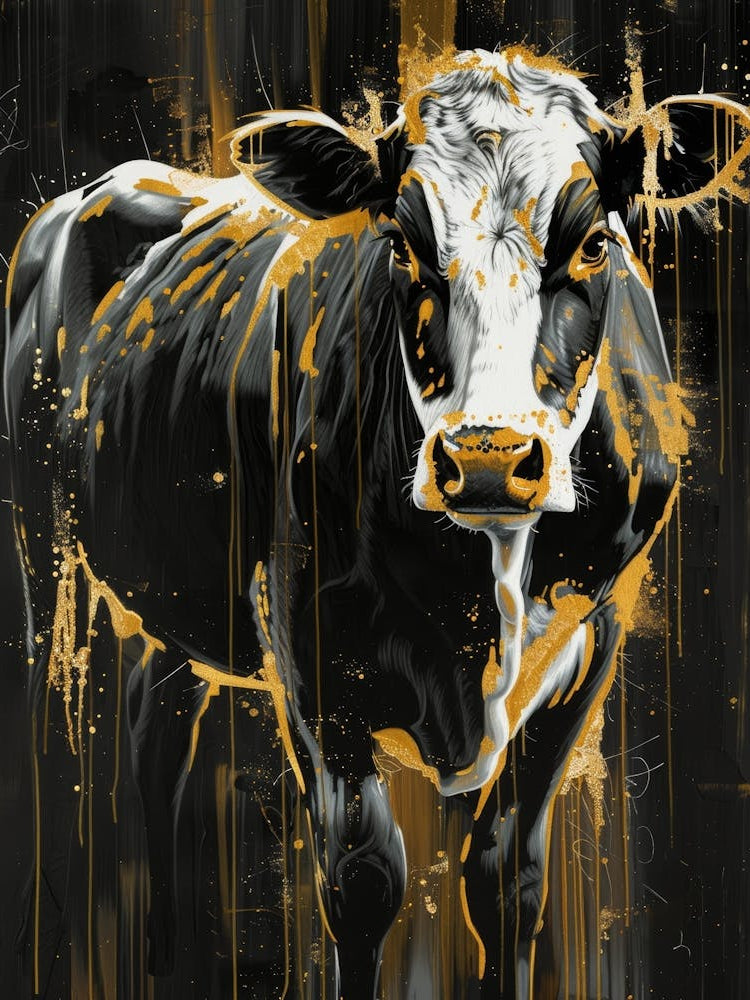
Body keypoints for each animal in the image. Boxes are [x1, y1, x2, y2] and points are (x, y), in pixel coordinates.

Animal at [4, 45, 743, 999]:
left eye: (594, 243)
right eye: (400, 242)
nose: (490, 456)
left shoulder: (592, 643)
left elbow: (507, 880)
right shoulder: (310, 646)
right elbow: (362, 883)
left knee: (154, 737)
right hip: (41, 551)